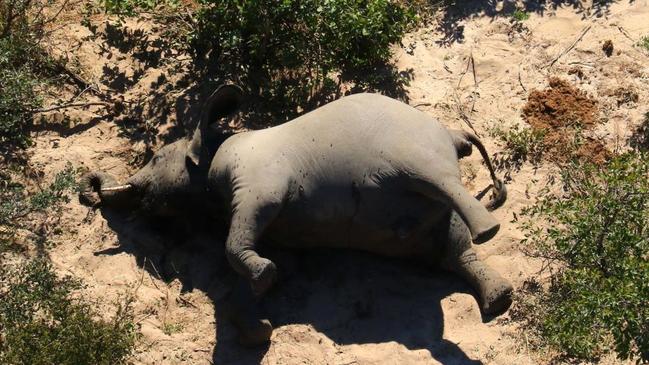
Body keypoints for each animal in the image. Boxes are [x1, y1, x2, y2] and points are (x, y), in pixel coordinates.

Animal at [79, 84, 512, 344]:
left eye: (155, 158)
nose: (90, 191)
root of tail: (454, 134)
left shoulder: (258, 181)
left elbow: (238, 239)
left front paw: (263, 281)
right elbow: (263, 259)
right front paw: (259, 320)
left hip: (416, 152)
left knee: (443, 186)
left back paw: (489, 233)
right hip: (426, 220)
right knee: (452, 249)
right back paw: (500, 300)